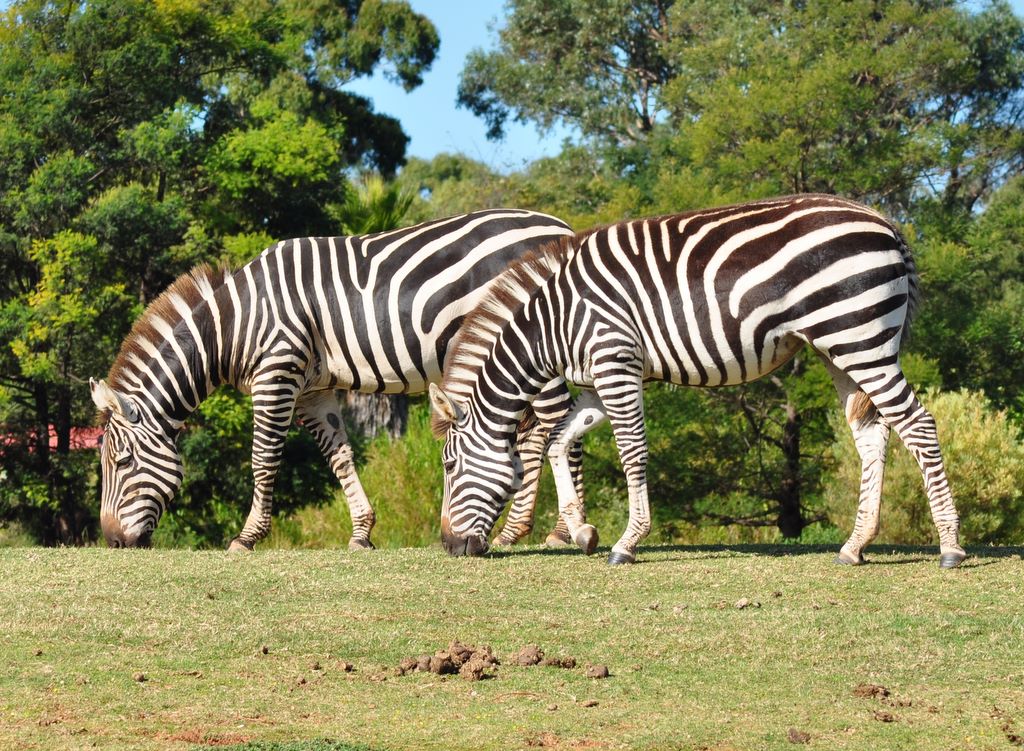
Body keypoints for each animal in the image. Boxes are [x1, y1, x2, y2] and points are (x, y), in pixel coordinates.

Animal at [90, 209, 581, 550]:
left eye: (121, 463)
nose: (112, 541)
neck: (234, 324)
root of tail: (560, 227)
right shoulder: (314, 390)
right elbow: (340, 457)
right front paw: (362, 533)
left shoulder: (277, 371)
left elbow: (263, 459)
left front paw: (247, 537)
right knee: (534, 433)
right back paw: (514, 532)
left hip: (538, 347)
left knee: (561, 424)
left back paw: (563, 531)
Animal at [429, 194, 967, 568]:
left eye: (450, 465)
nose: (451, 547)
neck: (553, 324)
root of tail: (888, 225)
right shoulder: (598, 380)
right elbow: (559, 442)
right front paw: (581, 531)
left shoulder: (616, 363)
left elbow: (632, 452)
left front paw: (627, 543)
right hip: (841, 349)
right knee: (873, 434)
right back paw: (856, 545)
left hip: (860, 338)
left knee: (919, 425)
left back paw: (950, 546)